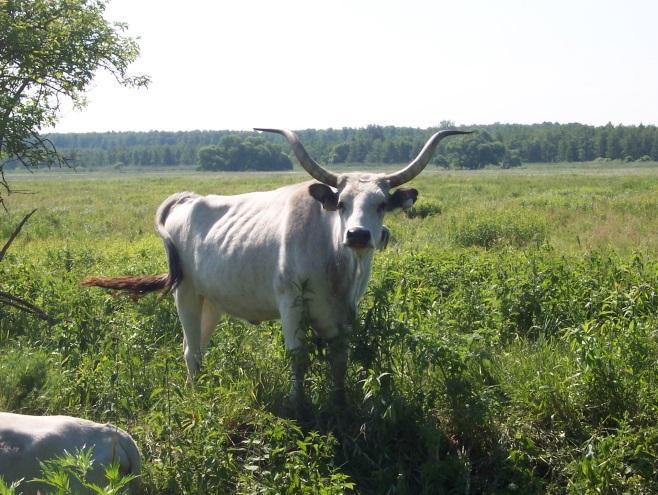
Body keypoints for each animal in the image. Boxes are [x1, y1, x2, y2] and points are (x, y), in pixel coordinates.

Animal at [84, 129, 468, 410]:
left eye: (382, 204)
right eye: (342, 204)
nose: (358, 235)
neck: (333, 260)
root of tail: (188, 199)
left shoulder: (345, 312)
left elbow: (339, 359)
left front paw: (340, 401)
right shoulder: (290, 300)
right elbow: (297, 356)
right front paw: (298, 404)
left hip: (212, 300)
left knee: (196, 346)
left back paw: (203, 388)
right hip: (186, 292)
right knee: (191, 349)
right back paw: (197, 397)